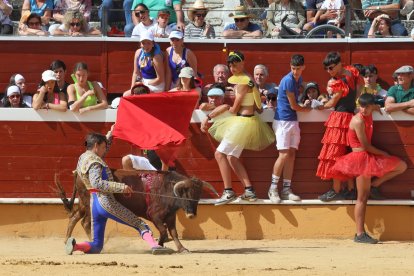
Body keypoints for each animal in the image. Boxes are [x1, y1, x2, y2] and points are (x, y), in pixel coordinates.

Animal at [54, 168, 220, 252]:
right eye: (186, 194)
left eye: (198, 196)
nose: (191, 215)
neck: (167, 189)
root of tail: (79, 173)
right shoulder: (155, 216)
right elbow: (164, 231)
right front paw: (160, 244)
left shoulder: (171, 216)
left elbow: (173, 232)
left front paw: (181, 248)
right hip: (89, 205)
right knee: (86, 223)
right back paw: (93, 243)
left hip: (83, 203)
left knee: (74, 217)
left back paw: (66, 241)